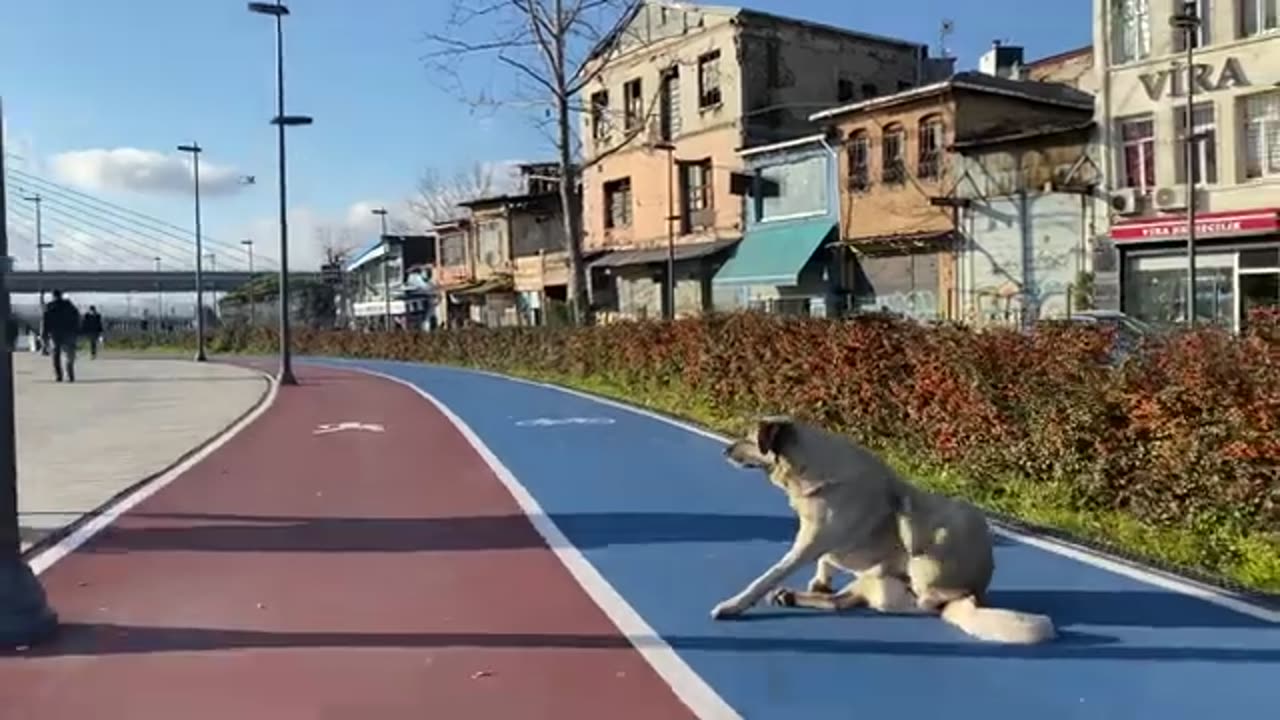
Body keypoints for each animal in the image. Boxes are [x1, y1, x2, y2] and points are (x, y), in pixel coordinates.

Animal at [716, 412, 1054, 640]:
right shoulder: (820, 541)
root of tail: (972, 595)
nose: (725, 451)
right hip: (872, 577)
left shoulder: (809, 543)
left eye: (749, 438)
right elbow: (826, 563)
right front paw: (819, 581)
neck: (812, 470)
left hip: (949, 528)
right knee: (839, 602)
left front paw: (733, 605)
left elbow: (767, 577)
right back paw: (793, 596)